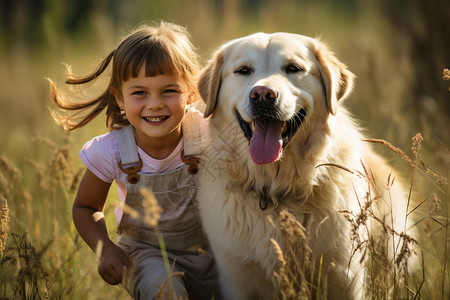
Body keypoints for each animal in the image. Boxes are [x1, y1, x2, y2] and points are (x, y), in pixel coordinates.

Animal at [197, 31, 414, 298]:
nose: (262, 94)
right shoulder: (236, 277)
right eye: (243, 70)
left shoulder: (345, 274)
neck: (275, 189)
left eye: (293, 68)